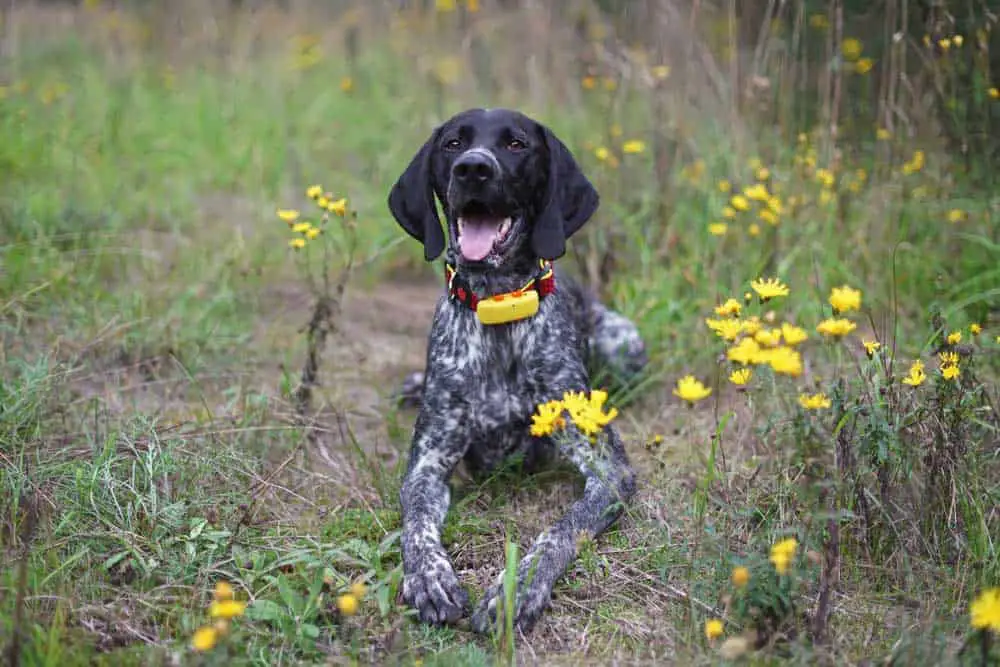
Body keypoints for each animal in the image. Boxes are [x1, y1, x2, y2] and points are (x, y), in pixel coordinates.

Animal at [382, 107, 648, 636]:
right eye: (453, 142)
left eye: (517, 144)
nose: (473, 168)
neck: (499, 304)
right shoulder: (427, 464)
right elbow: (416, 524)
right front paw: (430, 577)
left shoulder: (609, 472)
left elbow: (559, 531)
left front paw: (517, 588)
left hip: (626, 343)